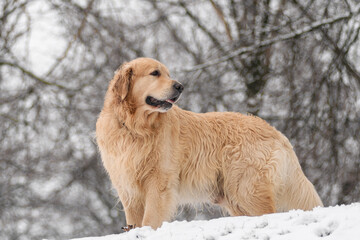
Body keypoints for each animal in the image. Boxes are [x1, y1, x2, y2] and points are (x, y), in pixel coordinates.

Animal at [95, 57, 324, 230]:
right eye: (155, 73)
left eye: (167, 74)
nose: (180, 86)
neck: (134, 127)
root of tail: (275, 132)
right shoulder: (127, 186)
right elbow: (134, 220)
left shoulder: (158, 182)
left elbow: (150, 219)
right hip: (235, 197)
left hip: (247, 188)